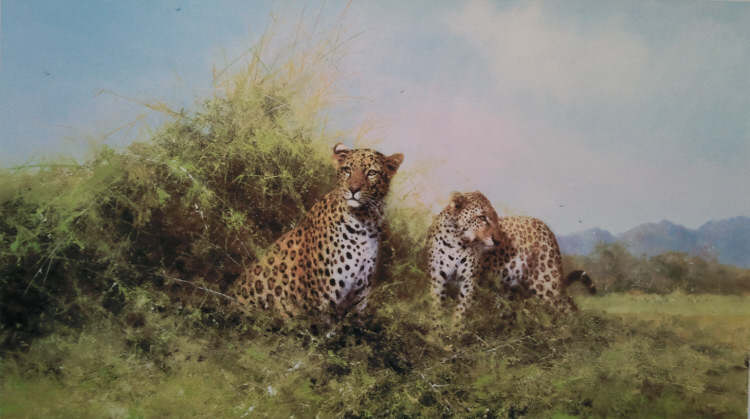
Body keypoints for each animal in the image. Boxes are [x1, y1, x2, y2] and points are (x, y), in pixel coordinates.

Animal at [232, 143, 404, 319]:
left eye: (371, 173)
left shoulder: (357, 301)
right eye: (347, 169)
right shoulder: (321, 302)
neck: (365, 224)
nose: (353, 189)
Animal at [427, 191, 596, 323]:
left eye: (495, 218)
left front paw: (454, 333)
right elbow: (436, 307)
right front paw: (437, 334)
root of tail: (545, 227)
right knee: (509, 315)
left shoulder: (470, 281)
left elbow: (461, 311)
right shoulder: (438, 278)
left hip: (546, 282)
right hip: (509, 288)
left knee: (570, 308)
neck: (456, 242)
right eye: (482, 217)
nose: (498, 240)